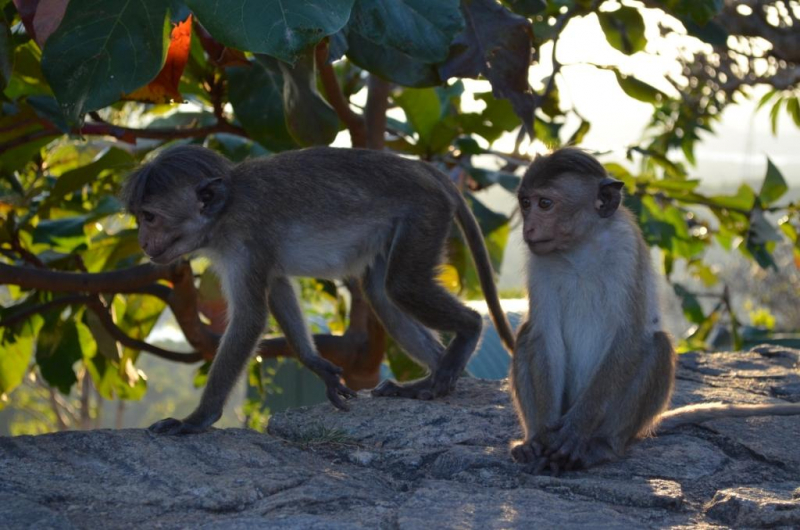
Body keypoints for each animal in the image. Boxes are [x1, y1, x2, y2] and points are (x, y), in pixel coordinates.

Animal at [122, 143, 516, 434]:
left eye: (150, 217)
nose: (141, 241)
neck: (225, 209)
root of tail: (425, 170)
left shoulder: (245, 240)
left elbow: (250, 318)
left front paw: (197, 419)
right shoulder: (252, 251)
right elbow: (277, 286)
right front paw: (318, 366)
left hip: (425, 213)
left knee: (401, 286)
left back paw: (467, 332)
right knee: (381, 292)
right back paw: (430, 379)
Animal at [512, 147, 800, 470]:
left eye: (545, 204)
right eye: (525, 202)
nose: (529, 227)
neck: (580, 248)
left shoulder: (626, 249)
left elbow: (630, 335)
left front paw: (574, 431)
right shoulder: (540, 261)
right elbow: (544, 335)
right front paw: (543, 437)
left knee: (656, 345)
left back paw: (600, 446)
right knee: (527, 334)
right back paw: (532, 443)